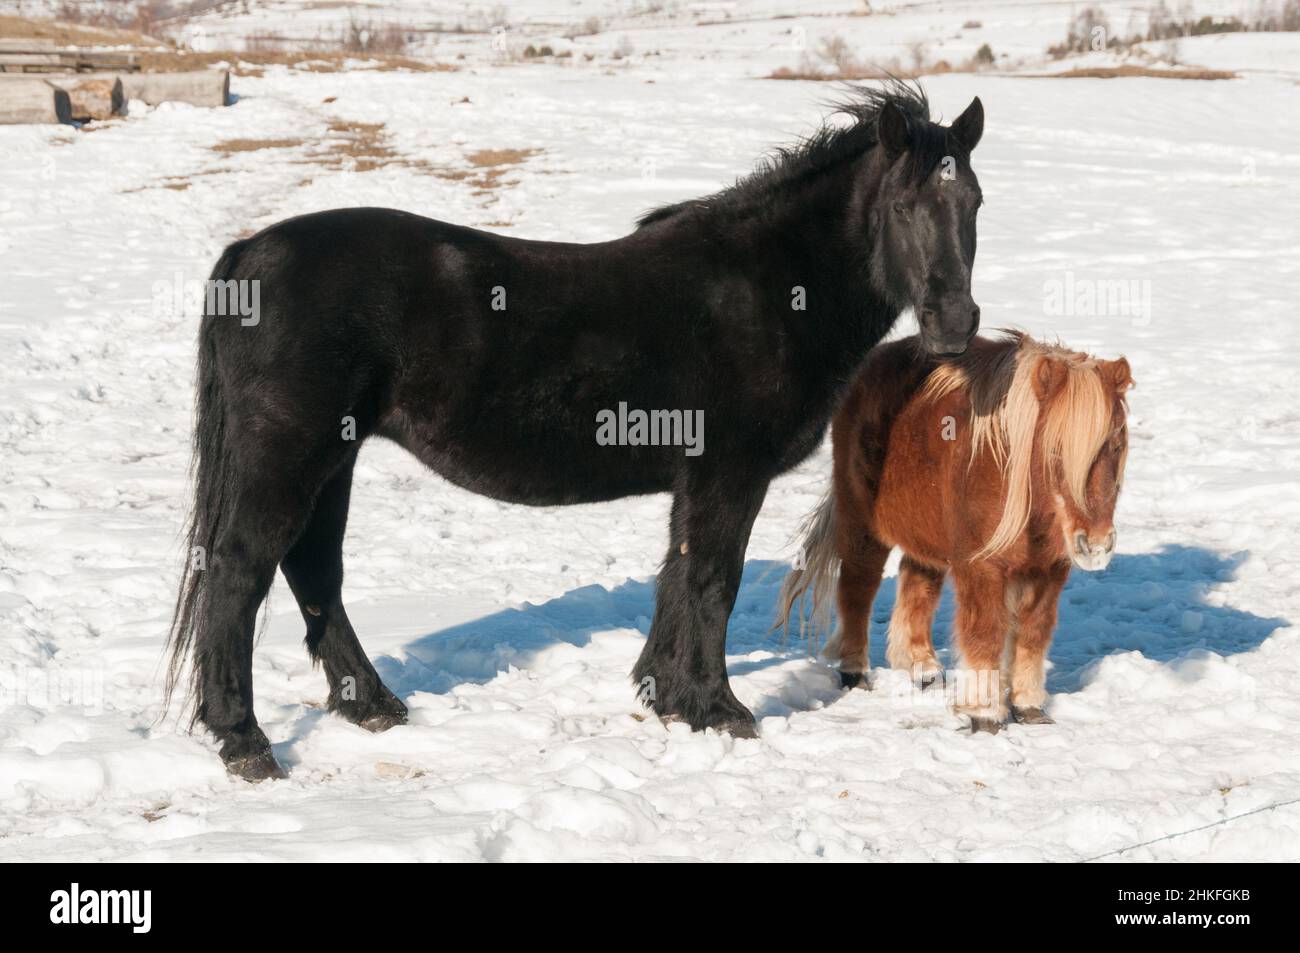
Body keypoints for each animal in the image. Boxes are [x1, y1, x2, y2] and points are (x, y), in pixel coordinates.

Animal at [170, 83, 982, 780]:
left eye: (972, 201)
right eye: (904, 204)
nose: (955, 325)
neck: (768, 288)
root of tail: (247, 258)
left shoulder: (696, 478)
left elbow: (677, 577)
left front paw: (664, 694)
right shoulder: (728, 472)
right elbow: (711, 582)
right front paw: (718, 709)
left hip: (332, 459)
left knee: (315, 572)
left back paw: (371, 705)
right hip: (293, 455)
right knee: (240, 573)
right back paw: (246, 742)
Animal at [774, 330, 1133, 733]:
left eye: (1116, 444)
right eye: (1055, 450)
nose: (1096, 545)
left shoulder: (1049, 569)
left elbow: (1033, 633)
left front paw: (1028, 707)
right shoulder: (981, 566)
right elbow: (985, 634)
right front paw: (984, 714)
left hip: (924, 531)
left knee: (916, 583)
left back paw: (923, 667)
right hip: (861, 523)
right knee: (858, 588)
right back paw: (855, 671)